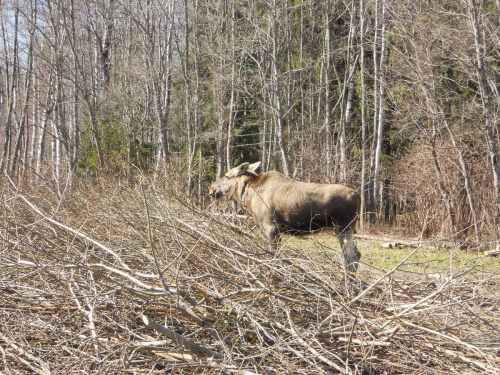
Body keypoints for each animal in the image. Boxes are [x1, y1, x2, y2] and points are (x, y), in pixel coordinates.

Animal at [209, 162, 362, 274]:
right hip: (348, 229)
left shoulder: (271, 227)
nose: (211, 188)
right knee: (357, 254)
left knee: (350, 256)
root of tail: (358, 195)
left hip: (343, 227)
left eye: (227, 176)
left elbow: (275, 256)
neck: (246, 194)